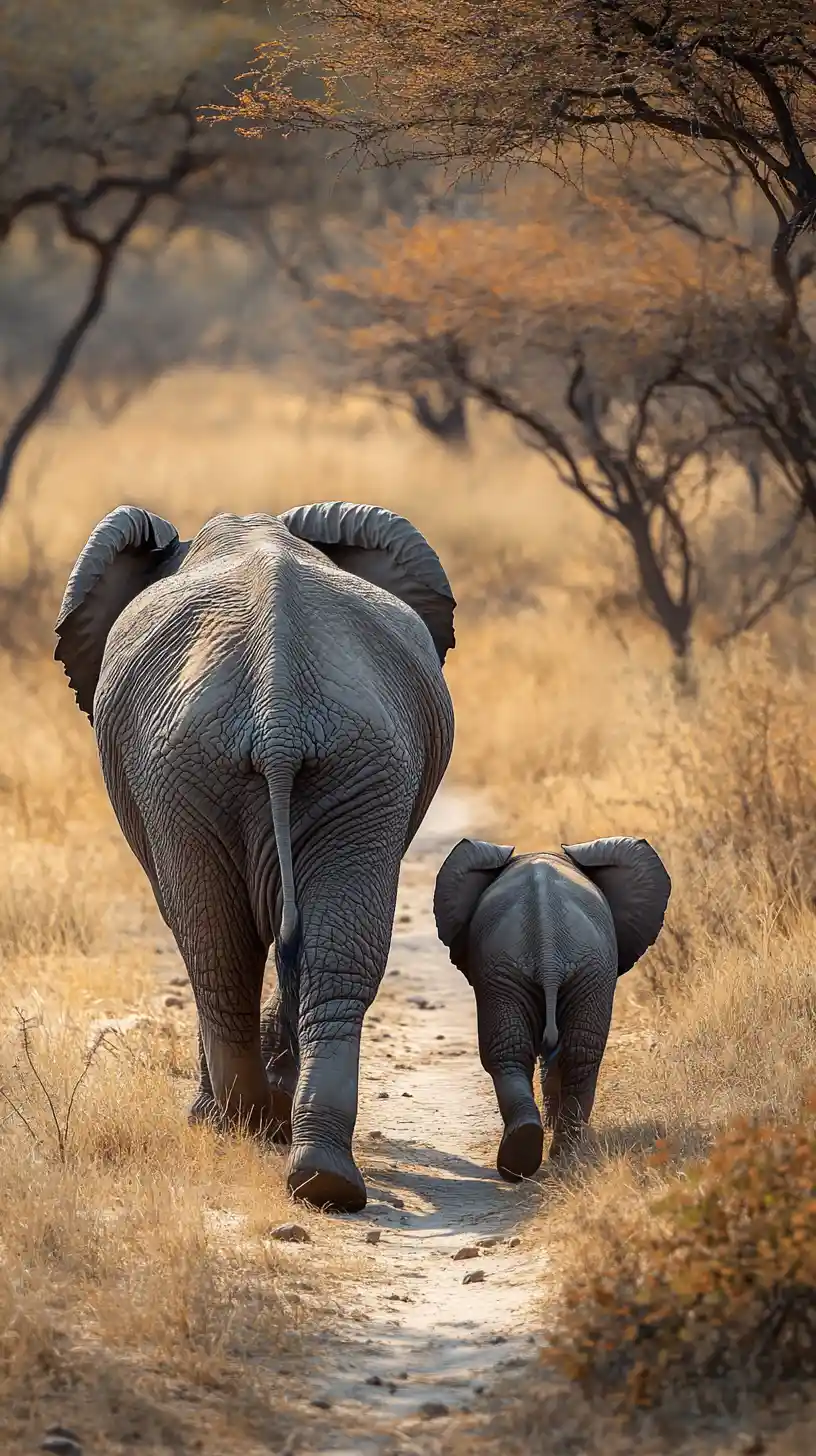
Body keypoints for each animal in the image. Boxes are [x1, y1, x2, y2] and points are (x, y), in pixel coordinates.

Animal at [55, 501, 456, 1213]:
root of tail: (279, 712)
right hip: (345, 763)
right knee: (326, 953)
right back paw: (318, 1174)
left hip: (194, 767)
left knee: (218, 949)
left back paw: (240, 1124)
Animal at [433, 836, 671, 1182]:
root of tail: (548, 952)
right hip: (540, 969)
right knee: (564, 1053)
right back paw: (550, 1154)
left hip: (572, 968)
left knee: (547, 1052)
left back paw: (546, 1155)